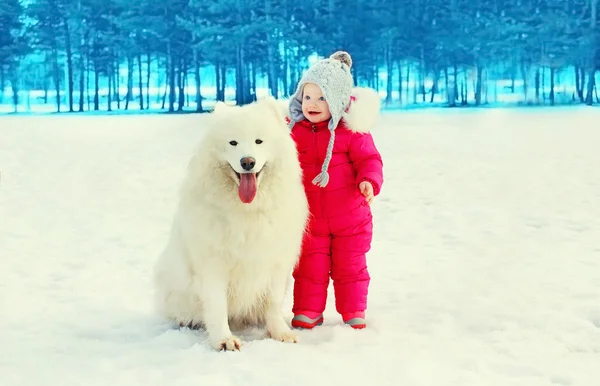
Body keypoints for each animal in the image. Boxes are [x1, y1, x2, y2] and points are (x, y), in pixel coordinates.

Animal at [154, 98, 310, 352]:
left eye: (259, 141)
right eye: (233, 143)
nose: (248, 162)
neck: (247, 210)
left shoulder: (275, 263)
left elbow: (274, 303)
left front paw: (281, 333)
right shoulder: (213, 266)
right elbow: (217, 307)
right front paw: (224, 340)